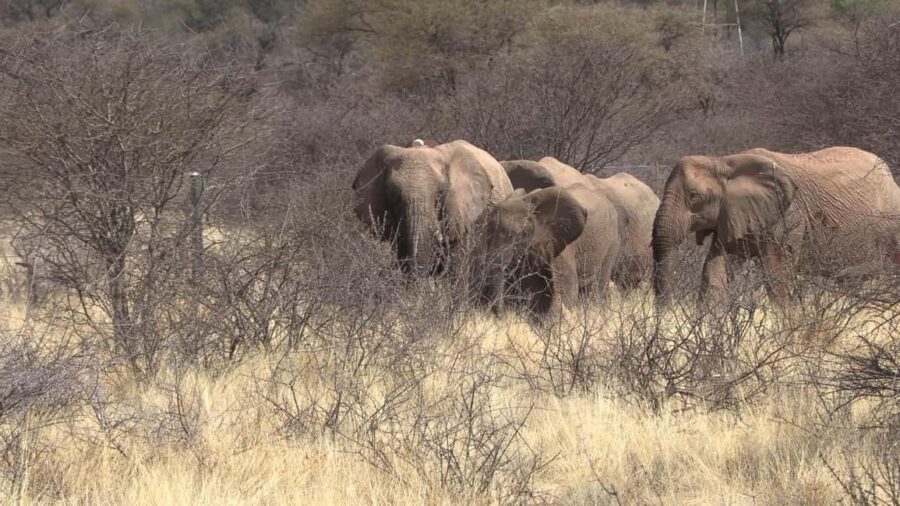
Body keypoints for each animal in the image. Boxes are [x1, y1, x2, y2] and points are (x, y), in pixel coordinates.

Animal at [478, 184, 621, 315]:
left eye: (518, 235)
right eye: (487, 234)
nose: (501, 315)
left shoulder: (564, 245)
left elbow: (566, 288)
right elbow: (535, 288)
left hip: (612, 241)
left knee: (598, 284)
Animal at [652, 146, 900, 302]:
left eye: (694, 197)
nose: (665, 309)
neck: (723, 162)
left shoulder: (788, 215)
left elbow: (777, 272)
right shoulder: (733, 213)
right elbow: (715, 269)